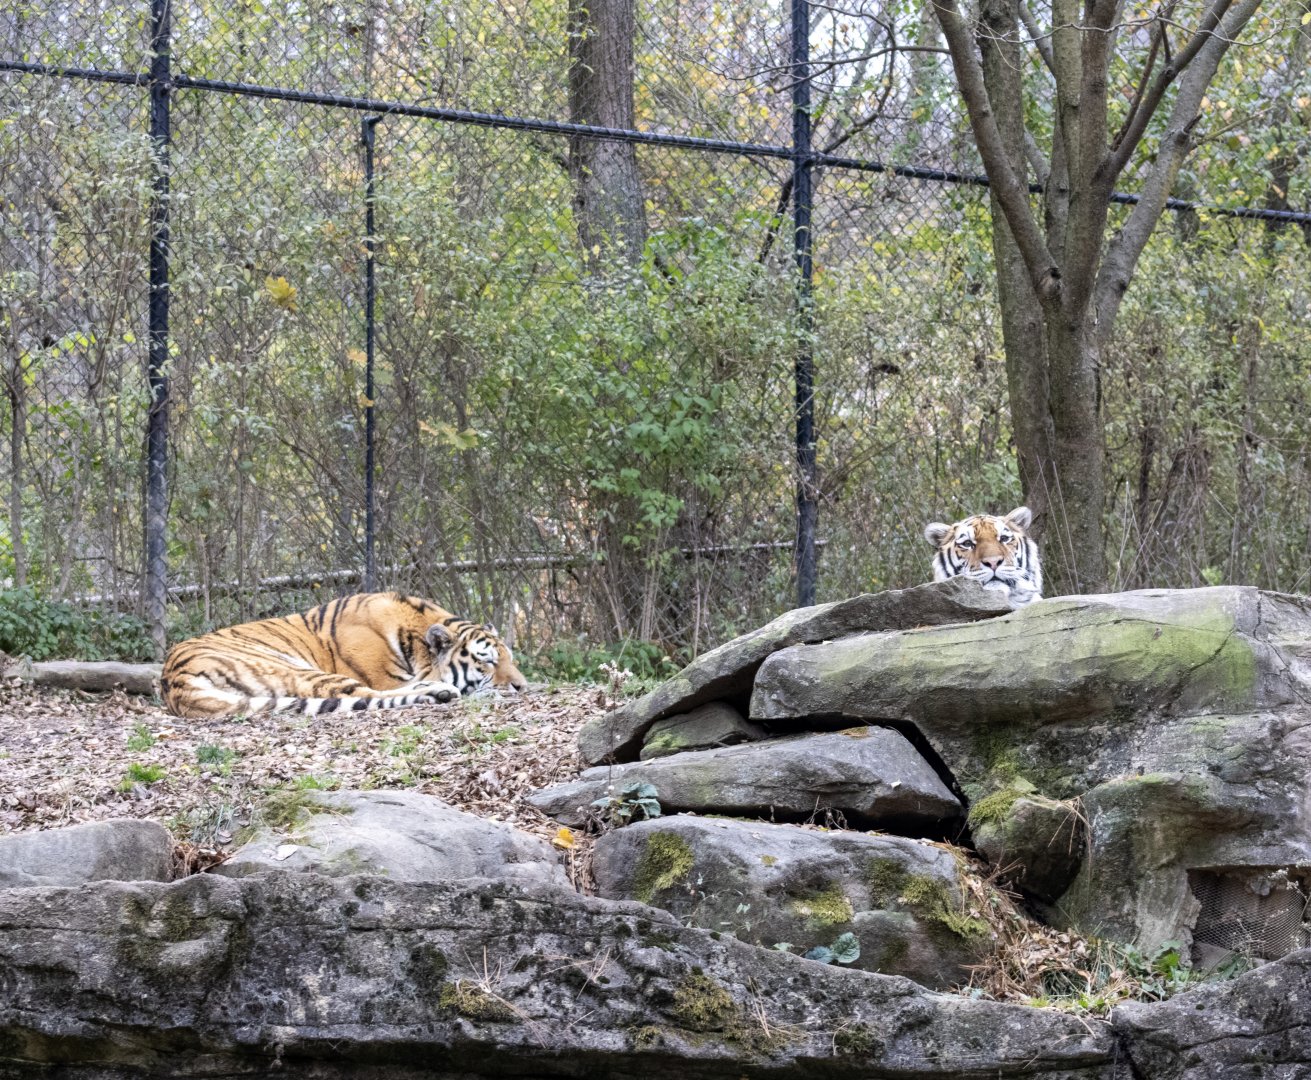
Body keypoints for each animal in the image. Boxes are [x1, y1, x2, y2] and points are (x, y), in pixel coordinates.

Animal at [161, 592, 527, 719]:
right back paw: (441, 692)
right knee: (366, 695)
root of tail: (173, 679)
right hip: (296, 669)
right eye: (487, 661)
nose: (522, 687)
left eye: (512, 658)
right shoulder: (383, 676)